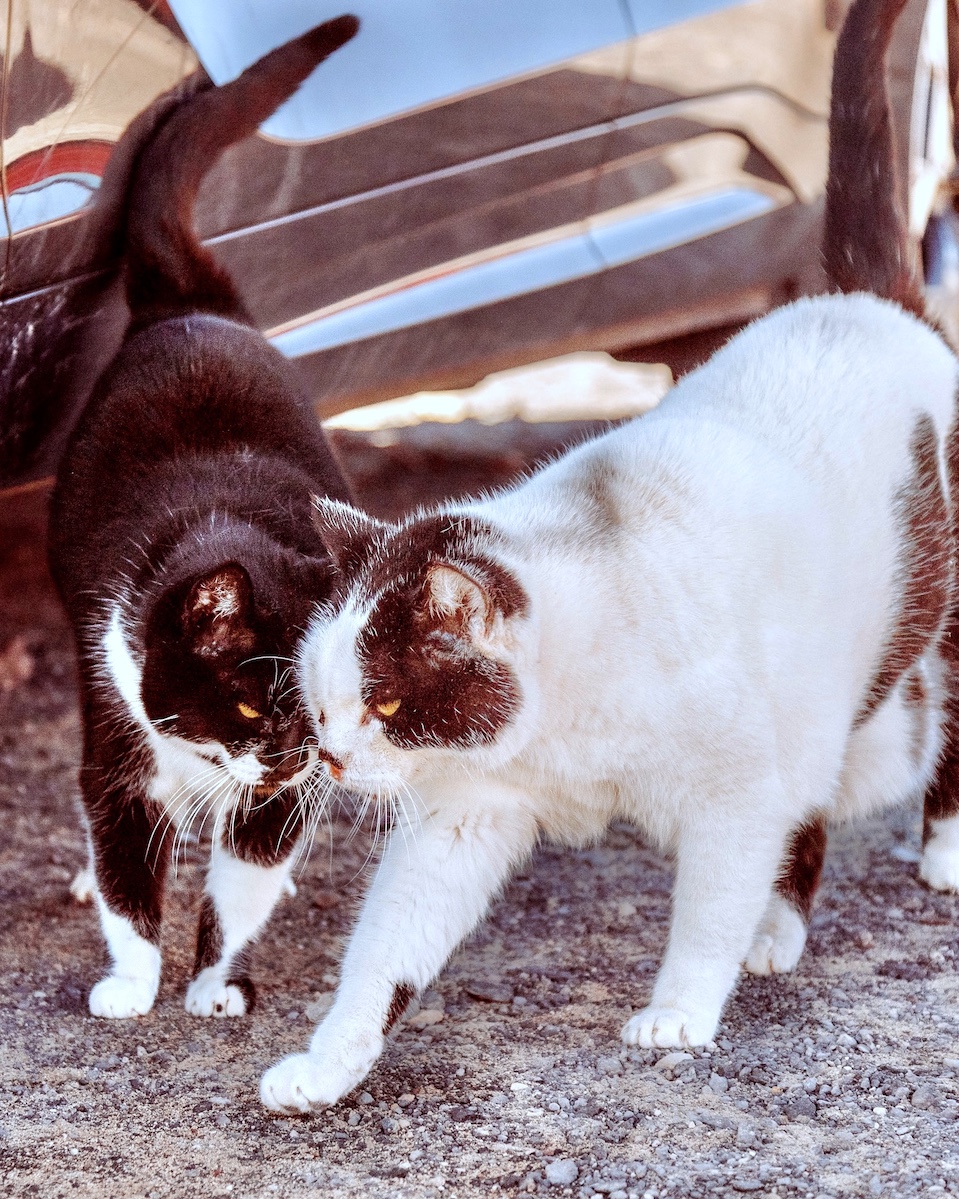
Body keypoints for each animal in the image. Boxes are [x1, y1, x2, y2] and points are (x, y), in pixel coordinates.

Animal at [48, 15, 360, 1022]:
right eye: (252, 699)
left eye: (320, 708)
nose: (300, 756)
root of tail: (191, 300)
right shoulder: (113, 725)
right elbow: (126, 863)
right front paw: (131, 982)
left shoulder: (275, 800)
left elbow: (245, 871)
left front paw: (216, 981)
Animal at [260, 0, 959, 1111]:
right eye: (323, 708)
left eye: (387, 705)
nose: (330, 758)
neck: (562, 720)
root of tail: (864, 300)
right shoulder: (465, 814)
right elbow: (387, 949)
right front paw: (332, 1060)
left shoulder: (731, 791)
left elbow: (706, 905)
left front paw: (678, 1010)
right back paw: (780, 927)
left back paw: (935, 852)